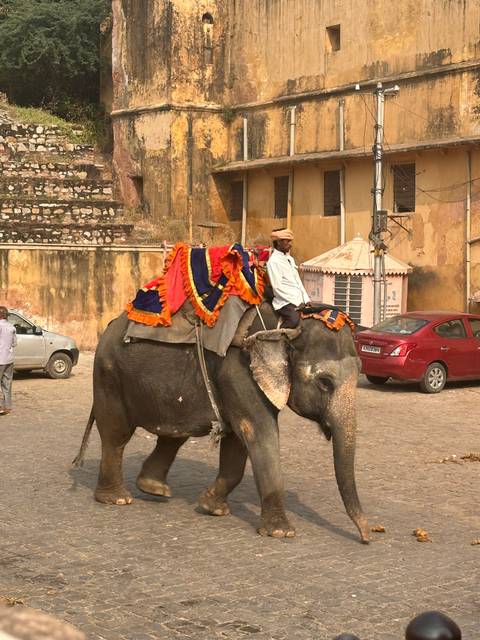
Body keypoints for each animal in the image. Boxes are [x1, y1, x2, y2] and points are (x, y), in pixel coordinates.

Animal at [74, 302, 370, 542]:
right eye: (325, 382)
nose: (369, 536)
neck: (288, 326)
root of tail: (112, 323)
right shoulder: (239, 371)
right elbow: (259, 433)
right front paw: (281, 533)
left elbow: (238, 443)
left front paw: (211, 507)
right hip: (109, 375)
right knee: (116, 435)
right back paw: (117, 499)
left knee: (174, 436)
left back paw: (153, 488)